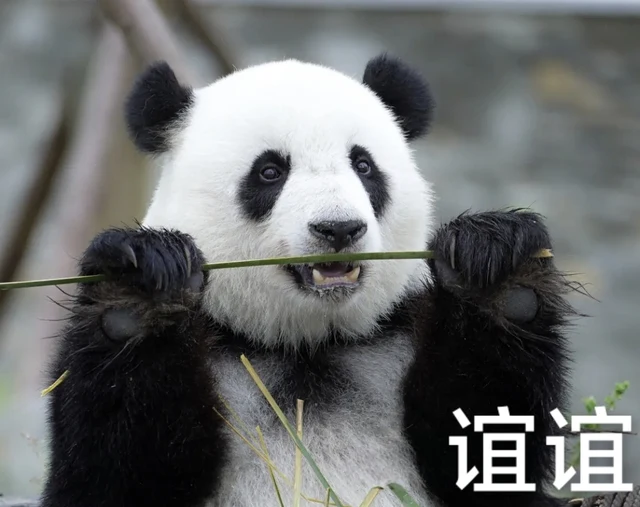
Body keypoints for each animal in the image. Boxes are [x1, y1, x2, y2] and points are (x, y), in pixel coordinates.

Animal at [40, 54, 575, 507]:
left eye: (364, 165)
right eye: (270, 171)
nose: (338, 228)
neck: (307, 346)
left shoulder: (394, 341)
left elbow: (486, 449)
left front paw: (497, 269)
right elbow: (116, 470)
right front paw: (139, 290)